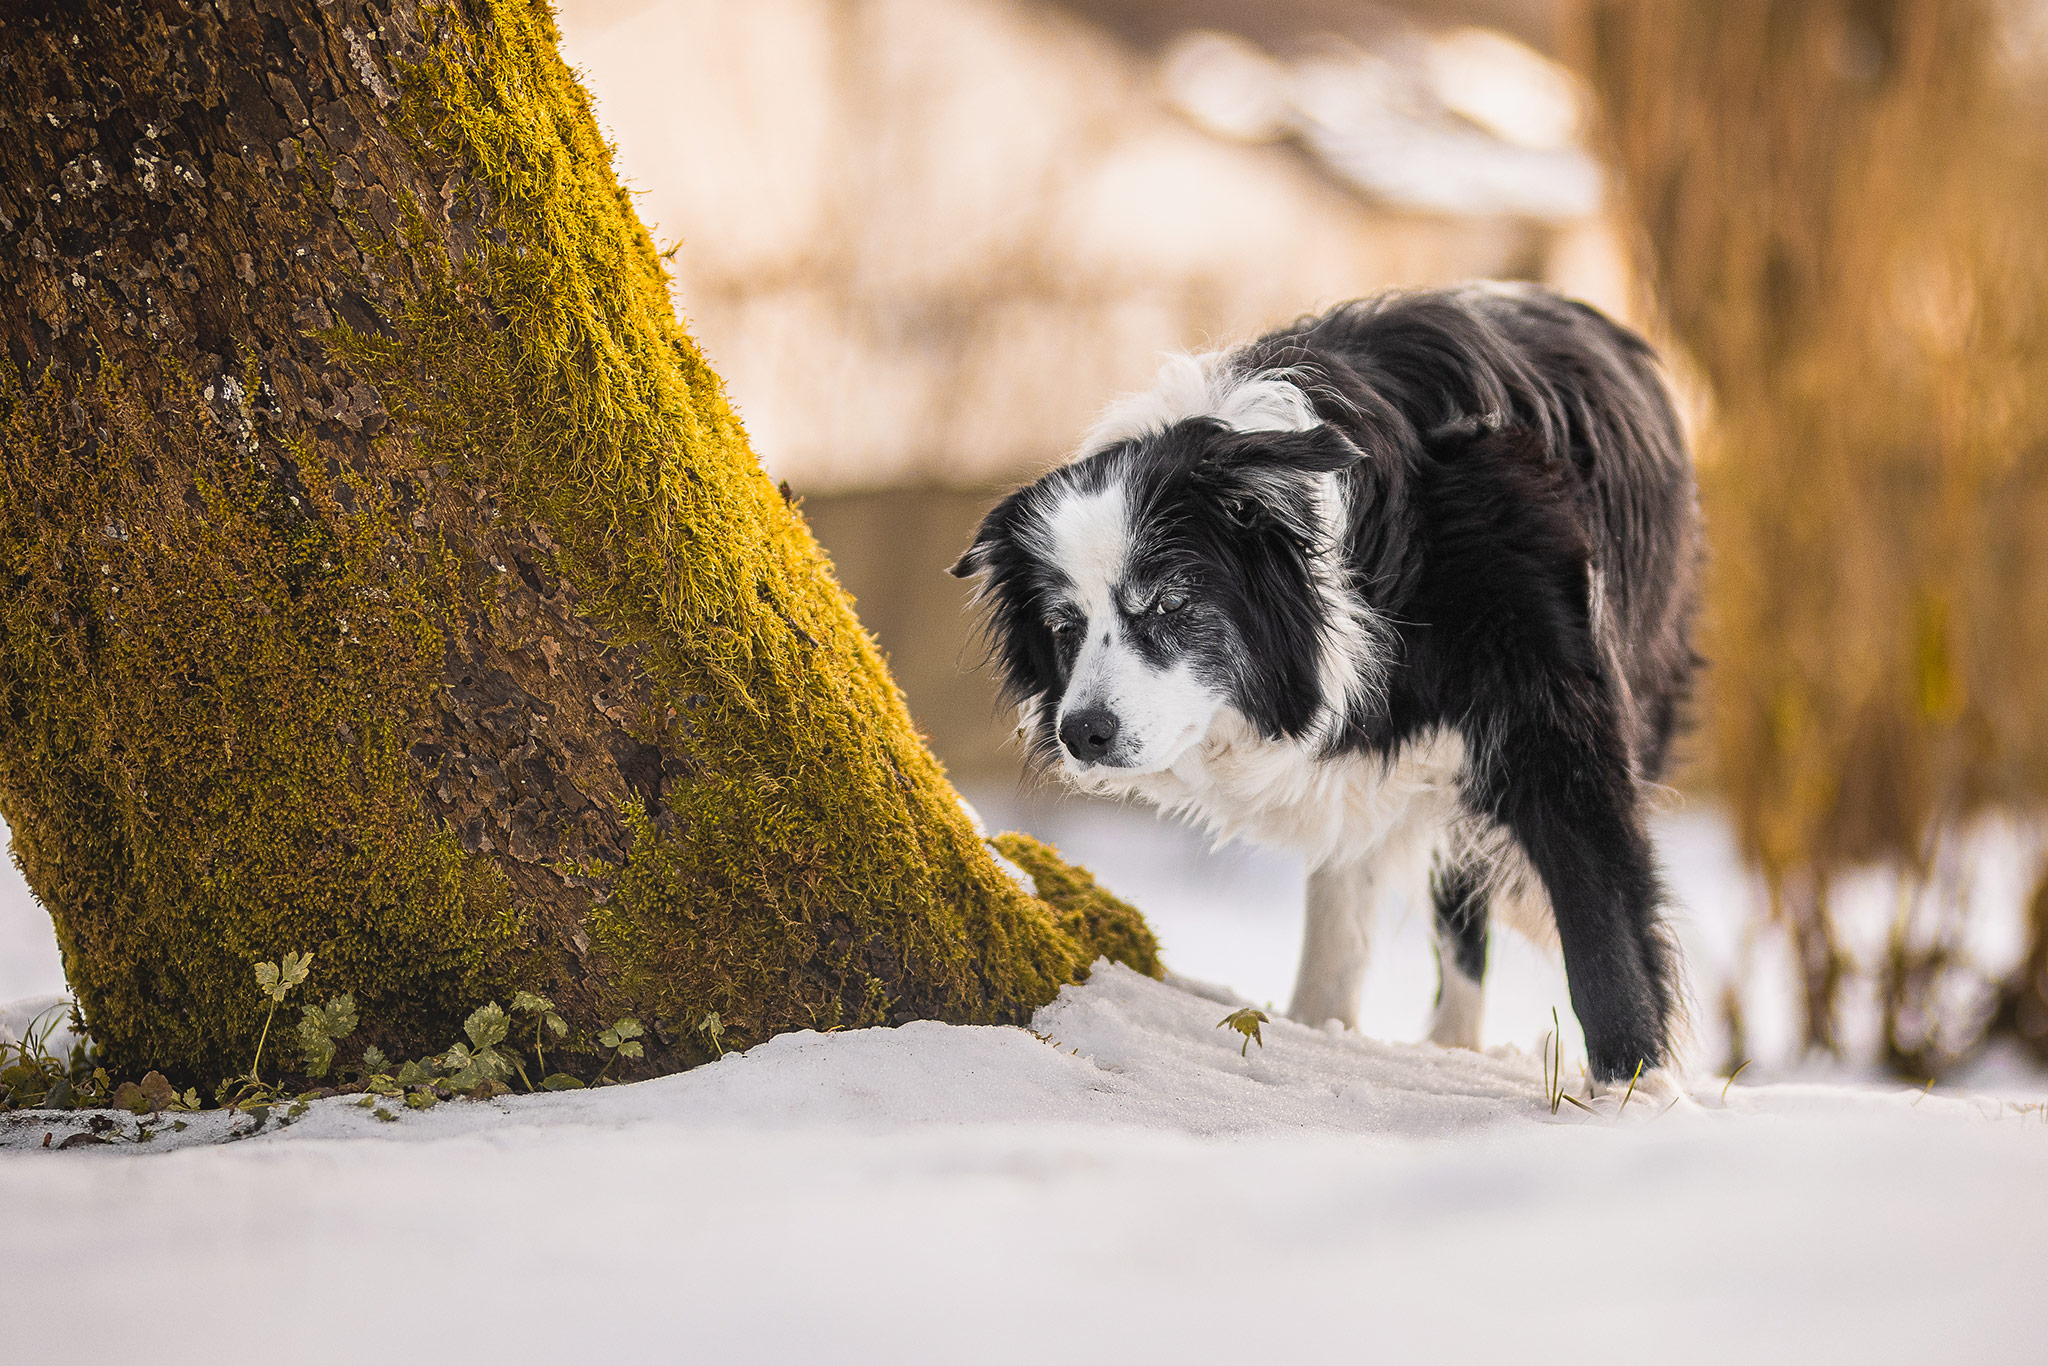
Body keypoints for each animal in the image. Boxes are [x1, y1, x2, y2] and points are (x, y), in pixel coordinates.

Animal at [950, 280, 1703, 1089]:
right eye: (1064, 627)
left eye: (1170, 605)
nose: (1082, 734)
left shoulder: (1552, 721)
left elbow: (1598, 912)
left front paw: (1634, 1088)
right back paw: (1406, 1040)